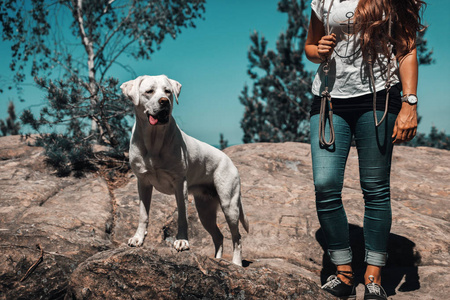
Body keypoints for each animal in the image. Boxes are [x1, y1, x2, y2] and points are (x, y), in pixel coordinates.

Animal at [119, 74, 250, 264]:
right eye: (149, 91)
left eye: (168, 91)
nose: (164, 101)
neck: (154, 139)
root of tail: (229, 160)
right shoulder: (143, 182)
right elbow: (143, 214)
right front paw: (138, 238)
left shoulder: (180, 185)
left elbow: (182, 215)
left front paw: (181, 241)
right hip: (205, 211)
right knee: (218, 236)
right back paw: (217, 259)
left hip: (229, 205)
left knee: (237, 237)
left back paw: (236, 264)